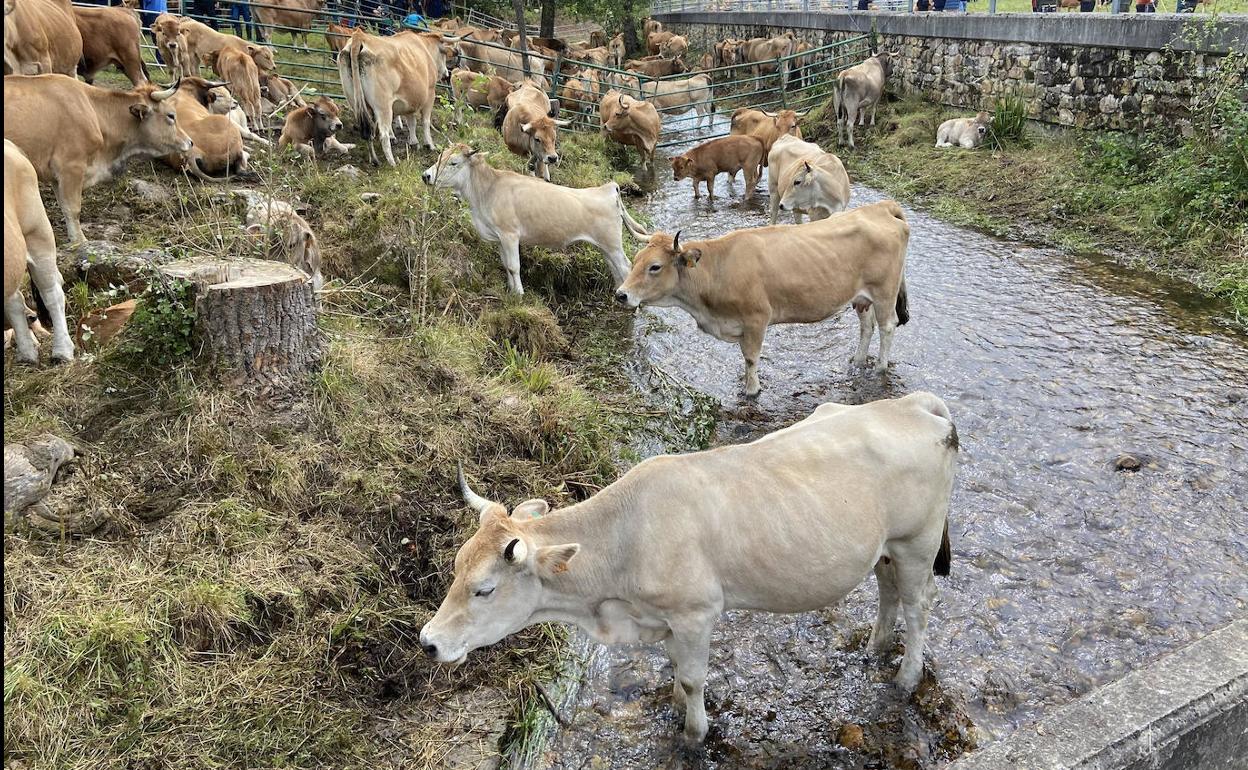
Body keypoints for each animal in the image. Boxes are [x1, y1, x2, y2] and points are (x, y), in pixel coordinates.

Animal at [339, 28, 456, 164]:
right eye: (443, 55)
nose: (446, 73)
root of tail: (360, 36)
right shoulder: (429, 94)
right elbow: (425, 122)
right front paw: (429, 145)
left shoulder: (411, 99)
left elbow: (411, 122)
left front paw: (414, 142)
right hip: (383, 106)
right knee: (383, 135)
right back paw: (392, 163)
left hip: (355, 102)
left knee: (368, 132)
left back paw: (374, 160)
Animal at [419, 389, 953, 738]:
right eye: (455, 569)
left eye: (485, 588)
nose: (428, 642)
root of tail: (914, 403)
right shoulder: (665, 618)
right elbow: (676, 669)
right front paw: (677, 705)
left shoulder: (697, 613)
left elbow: (695, 678)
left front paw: (695, 733)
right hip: (885, 546)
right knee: (887, 588)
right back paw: (875, 647)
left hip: (918, 541)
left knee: (919, 604)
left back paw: (906, 678)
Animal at [619, 200, 913, 394]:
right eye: (636, 259)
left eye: (655, 266)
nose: (621, 294)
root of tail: (881, 207)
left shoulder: (756, 319)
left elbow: (751, 358)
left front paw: (752, 390)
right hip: (862, 296)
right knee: (867, 326)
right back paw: (858, 360)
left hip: (884, 291)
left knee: (887, 326)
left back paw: (880, 368)